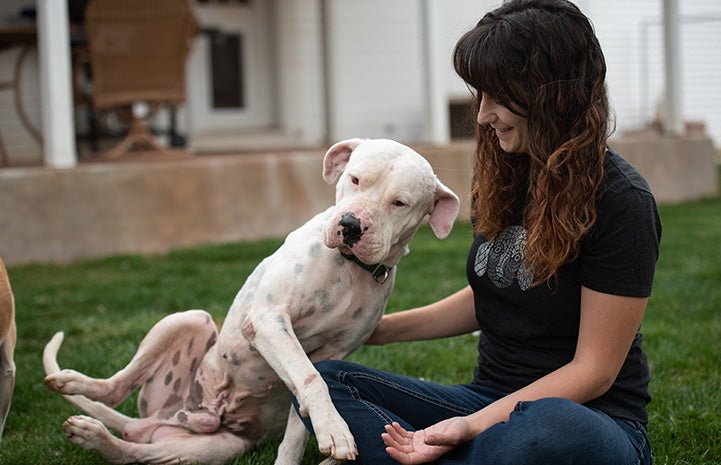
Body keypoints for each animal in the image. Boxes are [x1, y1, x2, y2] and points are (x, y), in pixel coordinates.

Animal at [45, 139, 458, 464]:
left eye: (400, 203)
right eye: (355, 179)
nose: (352, 225)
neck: (349, 268)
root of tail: (176, 415)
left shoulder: (331, 353)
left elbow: (301, 414)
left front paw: (319, 436)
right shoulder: (267, 320)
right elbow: (310, 378)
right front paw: (335, 429)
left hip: (205, 448)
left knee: (135, 451)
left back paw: (97, 437)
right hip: (188, 318)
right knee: (117, 387)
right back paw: (76, 389)